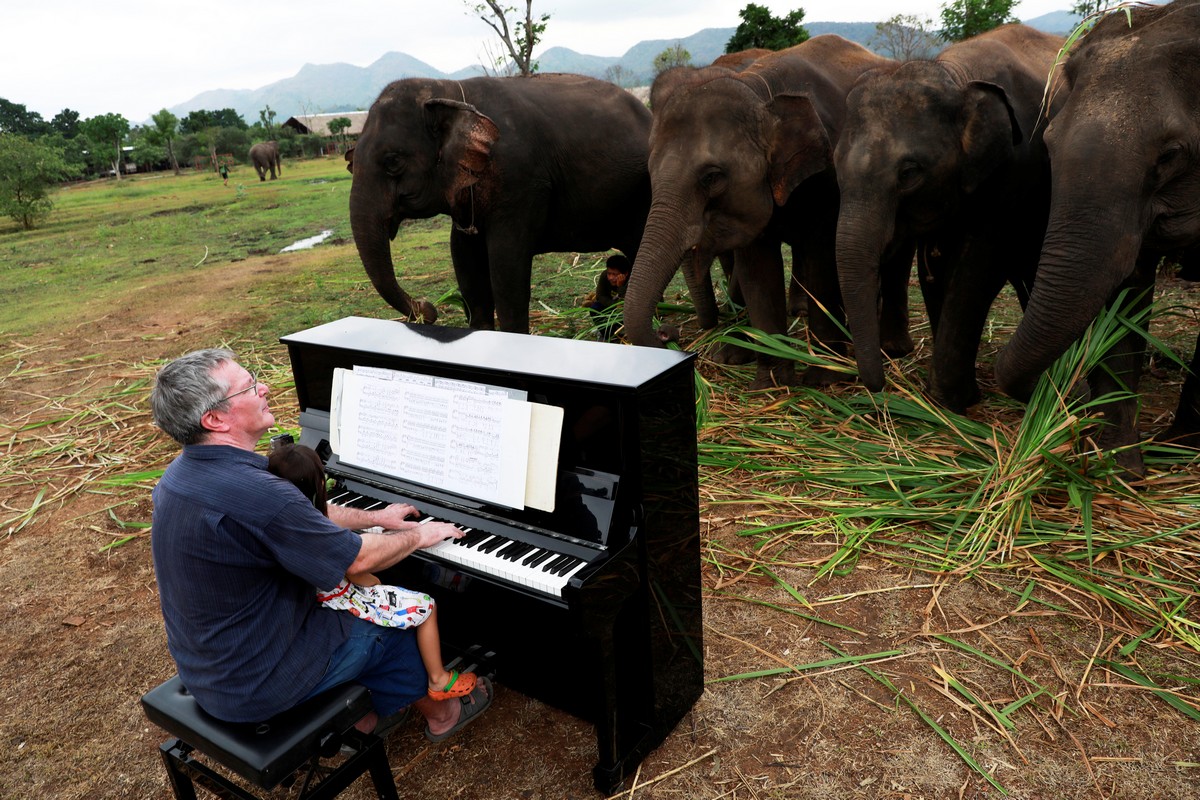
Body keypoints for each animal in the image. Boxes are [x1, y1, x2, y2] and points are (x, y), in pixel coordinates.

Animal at [348, 71, 652, 328]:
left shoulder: (520, 183)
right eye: (350, 162)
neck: (448, 90)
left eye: (392, 161)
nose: (429, 308)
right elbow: (466, 267)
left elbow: (508, 273)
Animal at [628, 35, 907, 388]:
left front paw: (821, 378)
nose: (668, 332)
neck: (759, 90)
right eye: (650, 171)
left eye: (712, 177)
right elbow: (757, 270)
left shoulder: (826, 179)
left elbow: (822, 258)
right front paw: (771, 381)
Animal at [835, 25, 1070, 412]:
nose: (880, 386)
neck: (955, 76)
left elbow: (977, 266)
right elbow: (934, 269)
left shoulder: (1016, 171)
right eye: (835, 165)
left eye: (909, 173)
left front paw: (950, 401)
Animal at [988, 0, 1200, 474]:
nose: (1071, 401)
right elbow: (1125, 298)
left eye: (1170, 156)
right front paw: (1119, 468)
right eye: (1047, 142)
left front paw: (1181, 446)